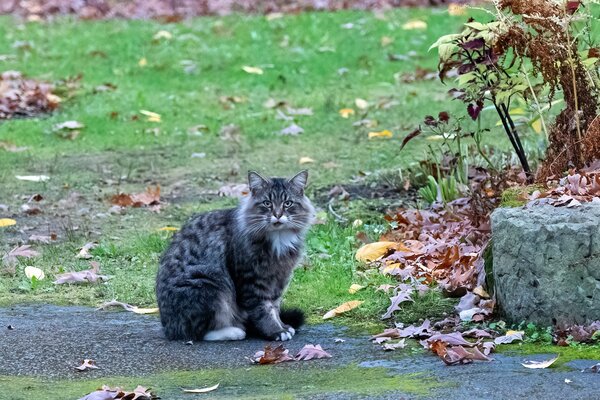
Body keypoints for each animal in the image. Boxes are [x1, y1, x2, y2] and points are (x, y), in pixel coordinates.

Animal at [155, 169, 314, 340]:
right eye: (267, 203)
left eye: (288, 203)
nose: (277, 215)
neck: (279, 238)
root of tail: (168, 327)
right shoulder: (252, 280)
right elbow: (263, 309)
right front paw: (275, 331)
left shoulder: (279, 278)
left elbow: (275, 307)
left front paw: (282, 326)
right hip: (209, 286)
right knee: (199, 332)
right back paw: (234, 331)